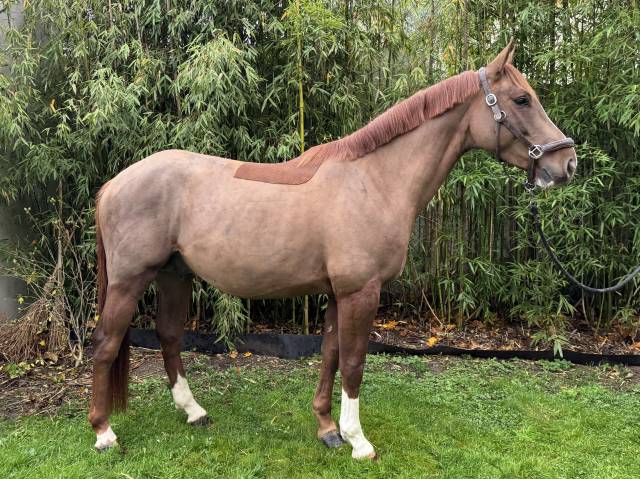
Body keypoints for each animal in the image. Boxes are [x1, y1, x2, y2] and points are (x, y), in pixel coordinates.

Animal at [89, 40, 577, 459]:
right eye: (522, 100)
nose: (567, 163)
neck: (375, 180)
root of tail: (113, 184)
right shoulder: (361, 291)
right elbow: (355, 361)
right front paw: (358, 441)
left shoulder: (338, 293)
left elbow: (330, 355)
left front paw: (327, 429)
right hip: (130, 281)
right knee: (107, 342)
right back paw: (104, 432)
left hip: (174, 275)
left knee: (169, 337)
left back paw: (193, 412)